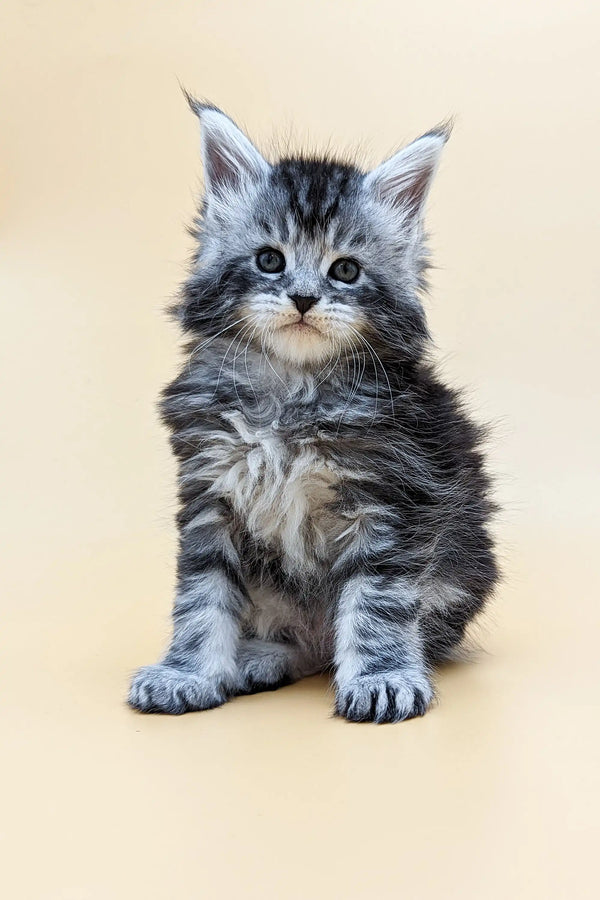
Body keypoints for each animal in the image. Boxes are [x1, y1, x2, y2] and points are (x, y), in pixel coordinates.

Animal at [129, 100, 500, 724]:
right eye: (269, 261)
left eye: (345, 270)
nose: (303, 298)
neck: (291, 393)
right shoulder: (209, 495)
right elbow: (201, 599)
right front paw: (187, 673)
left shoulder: (389, 504)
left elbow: (376, 605)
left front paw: (381, 678)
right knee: (298, 637)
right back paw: (258, 657)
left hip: (459, 573)